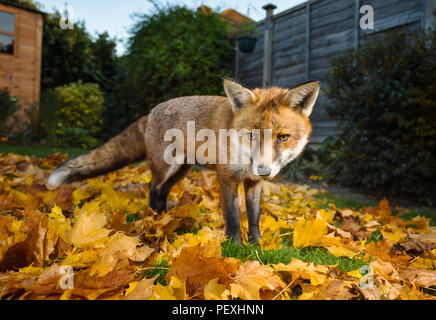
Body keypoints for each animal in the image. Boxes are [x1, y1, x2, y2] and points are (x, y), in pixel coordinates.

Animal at [48, 79, 320, 244]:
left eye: (283, 137)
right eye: (251, 135)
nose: (264, 170)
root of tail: (150, 112)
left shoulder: (253, 182)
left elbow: (253, 218)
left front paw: (257, 245)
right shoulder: (227, 178)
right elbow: (232, 216)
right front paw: (234, 247)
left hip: (181, 171)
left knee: (161, 190)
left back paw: (162, 216)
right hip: (166, 167)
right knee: (152, 187)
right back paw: (154, 218)